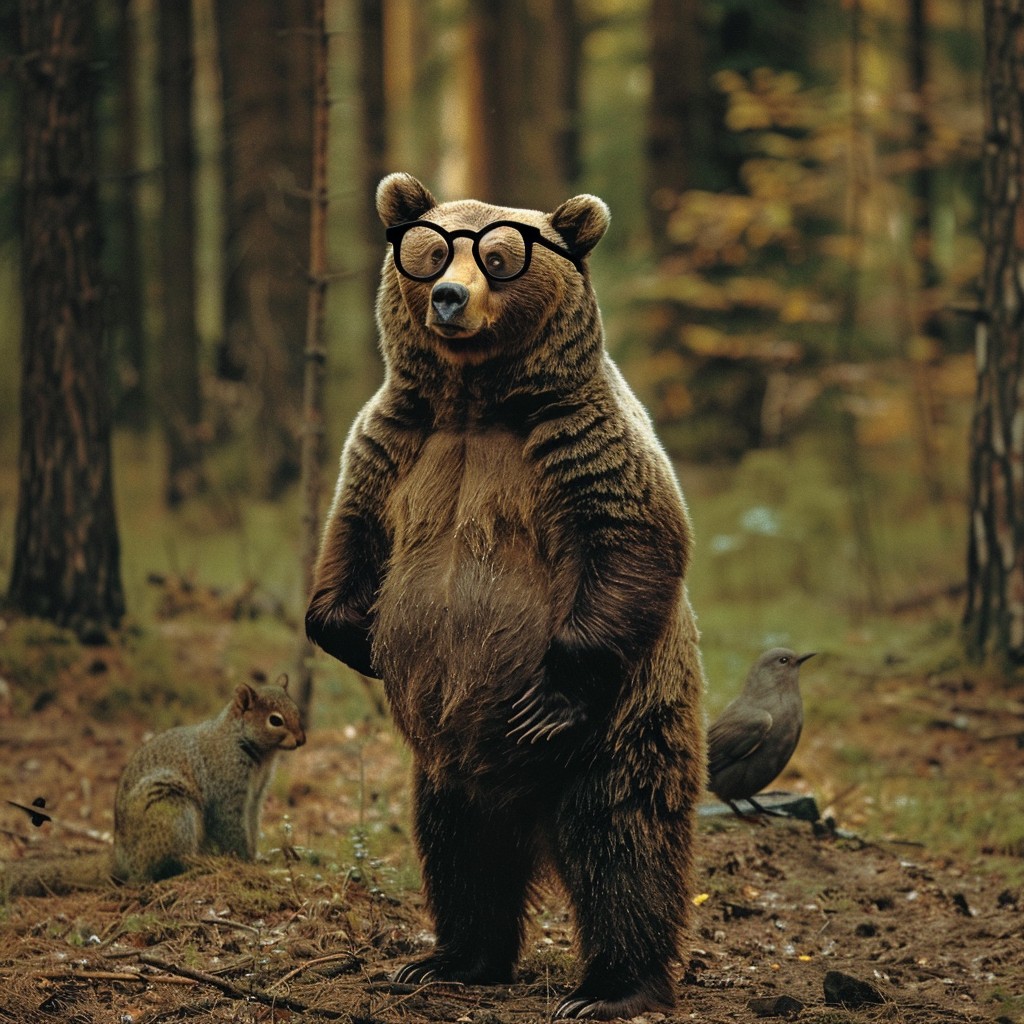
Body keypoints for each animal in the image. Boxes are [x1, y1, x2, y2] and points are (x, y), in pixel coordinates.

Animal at [306, 173, 706, 1019]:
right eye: (431, 252)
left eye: (498, 256)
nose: (450, 297)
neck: (476, 403)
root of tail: (528, 813)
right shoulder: (393, 440)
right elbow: (350, 533)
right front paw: (355, 638)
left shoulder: (581, 442)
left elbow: (637, 539)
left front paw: (547, 696)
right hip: (447, 763)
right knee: (459, 851)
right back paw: (450, 958)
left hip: (616, 731)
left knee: (621, 842)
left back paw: (612, 986)